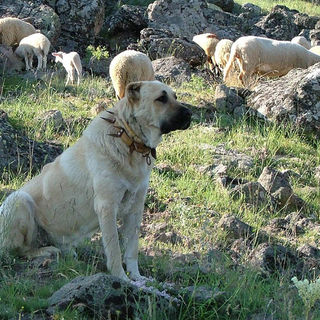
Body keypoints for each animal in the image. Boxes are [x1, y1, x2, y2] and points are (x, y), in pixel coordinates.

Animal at [0, 81, 191, 282]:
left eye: (175, 96)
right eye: (161, 98)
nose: (190, 114)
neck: (128, 139)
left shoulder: (135, 208)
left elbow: (132, 249)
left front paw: (137, 277)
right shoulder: (106, 206)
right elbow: (114, 249)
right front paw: (121, 279)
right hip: (19, 200)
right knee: (19, 250)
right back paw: (46, 251)